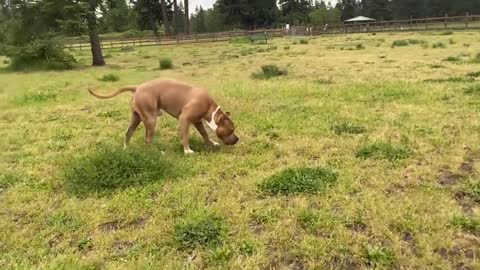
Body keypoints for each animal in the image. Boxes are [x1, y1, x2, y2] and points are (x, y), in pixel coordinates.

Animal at [88, 78, 238, 154]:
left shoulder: (197, 121)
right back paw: (157, 153)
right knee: (148, 139)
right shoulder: (184, 119)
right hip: (151, 119)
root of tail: (137, 87)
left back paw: (126, 149)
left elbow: (205, 134)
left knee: (128, 132)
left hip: (137, 118)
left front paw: (211, 143)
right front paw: (187, 150)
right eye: (231, 130)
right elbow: (185, 137)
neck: (210, 109)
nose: (237, 139)